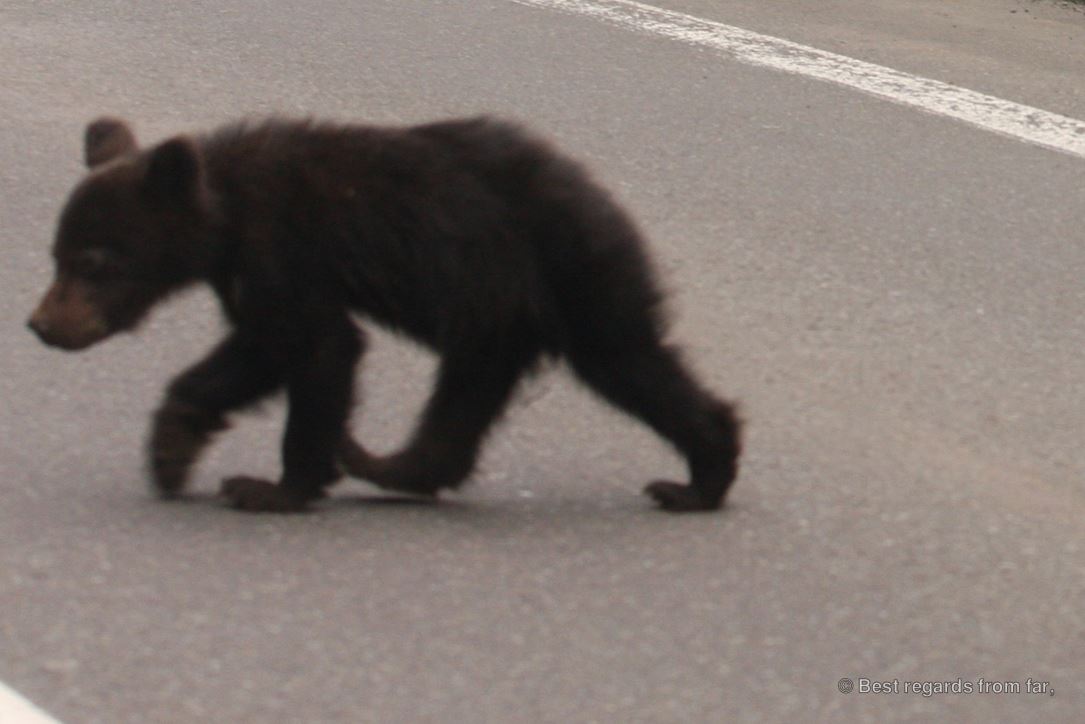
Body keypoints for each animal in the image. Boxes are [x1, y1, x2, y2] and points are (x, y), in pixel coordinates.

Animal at [27, 115, 742, 513]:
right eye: (56, 255)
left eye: (92, 262)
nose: (41, 325)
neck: (225, 214)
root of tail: (607, 200)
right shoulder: (255, 273)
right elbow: (259, 351)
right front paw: (174, 448)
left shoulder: (285, 249)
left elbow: (314, 346)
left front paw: (270, 487)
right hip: (497, 317)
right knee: (464, 399)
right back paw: (389, 464)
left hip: (572, 277)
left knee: (630, 362)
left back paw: (698, 480)